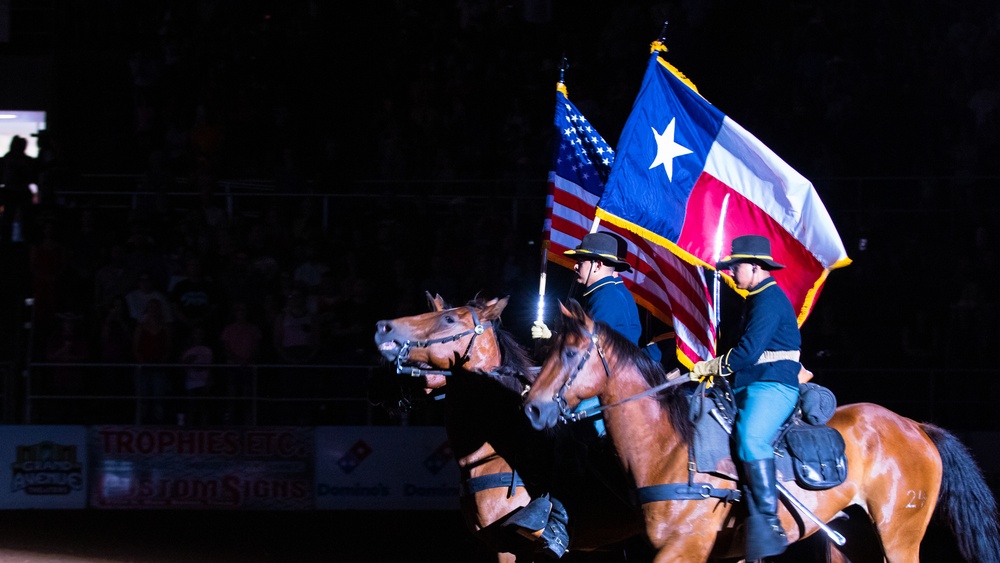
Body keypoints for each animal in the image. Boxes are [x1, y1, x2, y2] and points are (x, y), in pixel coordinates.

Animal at [524, 302, 1000, 563]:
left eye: (570, 353)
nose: (532, 406)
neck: (672, 448)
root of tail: (916, 426)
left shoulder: (683, 550)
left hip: (900, 539)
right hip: (852, 543)